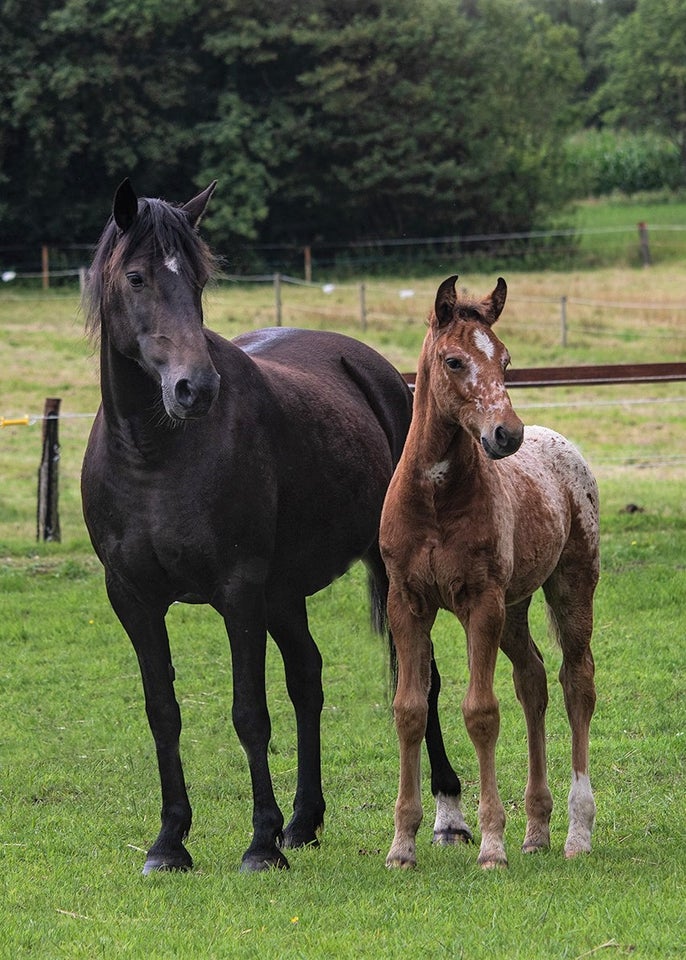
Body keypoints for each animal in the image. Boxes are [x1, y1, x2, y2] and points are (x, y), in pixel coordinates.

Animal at [79, 178, 468, 872]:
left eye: (198, 279)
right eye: (136, 276)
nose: (194, 388)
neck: (154, 455)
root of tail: (376, 370)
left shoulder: (238, 593)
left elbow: (249, 714)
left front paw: (259, 843)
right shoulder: (133, 598)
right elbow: (163, 712)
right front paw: (170, 842)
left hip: (378, 575)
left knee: (422, 678)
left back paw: (447, 815)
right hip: (284, 594)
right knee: (308, 680)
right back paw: (304, 821)